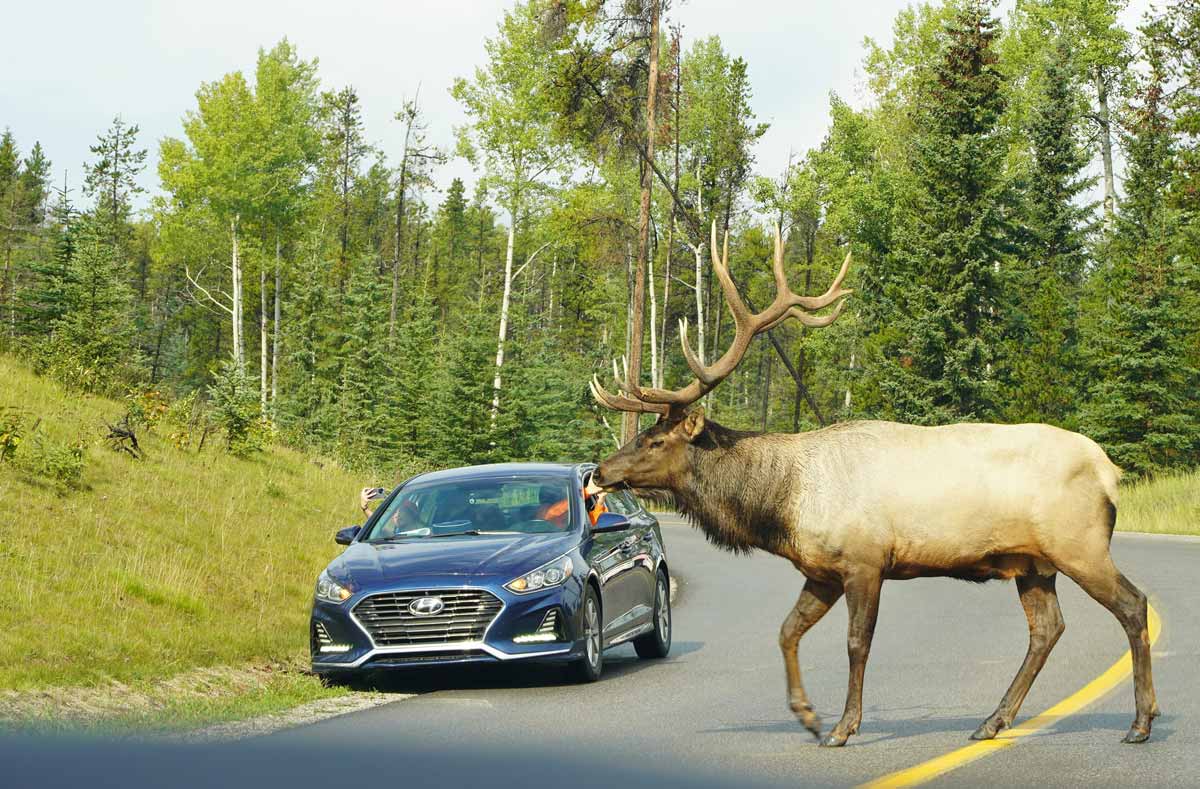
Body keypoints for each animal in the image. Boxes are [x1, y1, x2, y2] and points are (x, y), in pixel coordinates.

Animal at [590, 220, 1152, 743]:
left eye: (656, 441)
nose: (600, 472)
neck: (784, 504)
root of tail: (1111, 471)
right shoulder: (820, 570)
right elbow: (786, 632)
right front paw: (807, 715)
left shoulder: (865, 561)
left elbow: (856, 643)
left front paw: (843, 726)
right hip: (1033, 563)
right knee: (1047, 628)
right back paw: (993, 720)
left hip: (1078, 544)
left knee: (1133, 604)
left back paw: (1141, 721)